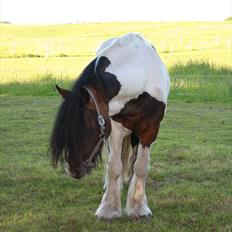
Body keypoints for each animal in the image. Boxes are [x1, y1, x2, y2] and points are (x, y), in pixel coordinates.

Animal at [49, 32, 169, 219]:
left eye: (86, 128)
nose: (72, 170)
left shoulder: (150, 130)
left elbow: (141, 167)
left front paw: (138, 207)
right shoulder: (114, 129)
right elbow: (113, 167)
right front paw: (109, 208)